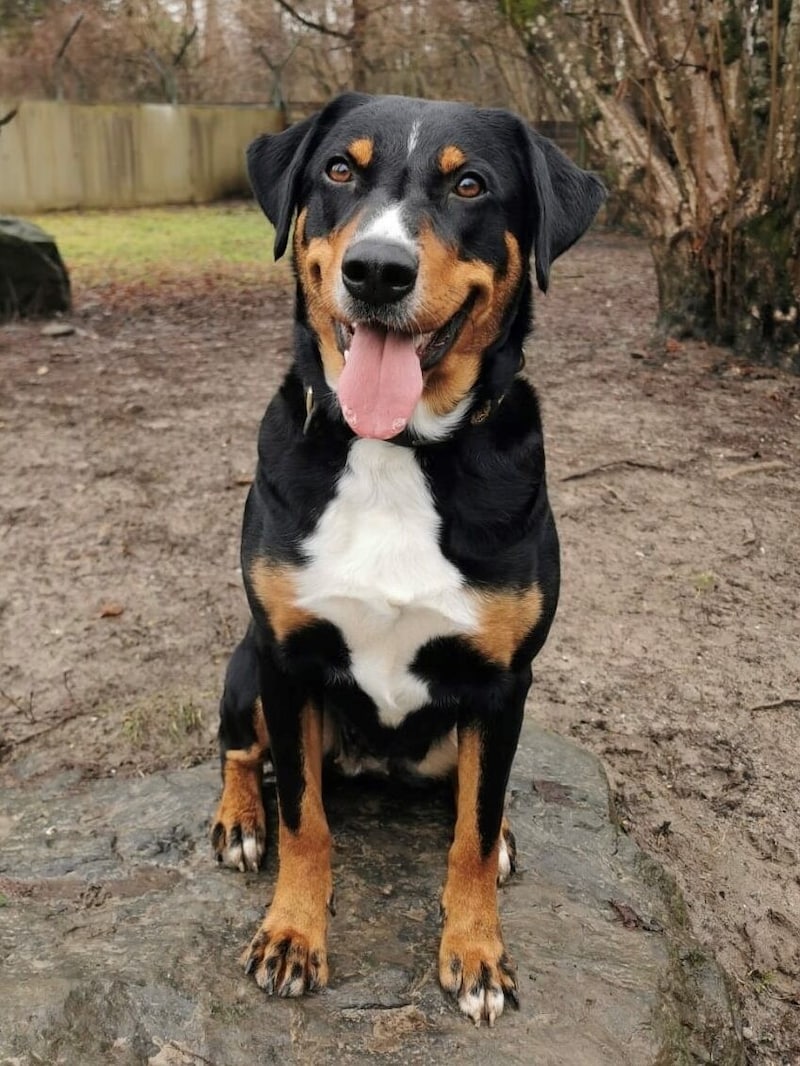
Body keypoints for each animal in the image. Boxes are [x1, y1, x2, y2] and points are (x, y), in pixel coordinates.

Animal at [210, 95, 605, 1027]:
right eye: (339, 170)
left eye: (471, 185)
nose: (378, 271)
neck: (395, 451)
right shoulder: (285, 659)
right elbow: (306, 823)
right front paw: (291, 934)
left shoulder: (502, 684)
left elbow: (472, 830)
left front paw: (477, 951)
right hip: (244, 664)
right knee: (241, 751)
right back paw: (240, 818)